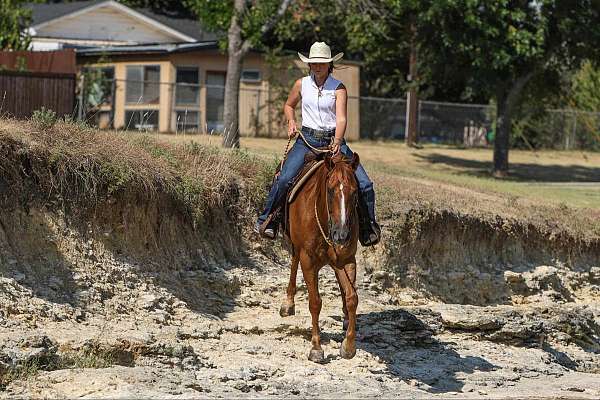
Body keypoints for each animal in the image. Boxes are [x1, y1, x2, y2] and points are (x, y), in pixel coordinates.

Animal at [278, 151, 358, 362]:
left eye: (355, 192)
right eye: (330, 190)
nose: (341, 235)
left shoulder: (347, 259)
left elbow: (352, 297)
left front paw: (349, 346)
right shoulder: (308, 260)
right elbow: (315, 302)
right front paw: (316, 347)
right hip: (296, 245)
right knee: (294, 262)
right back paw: (288, 304)